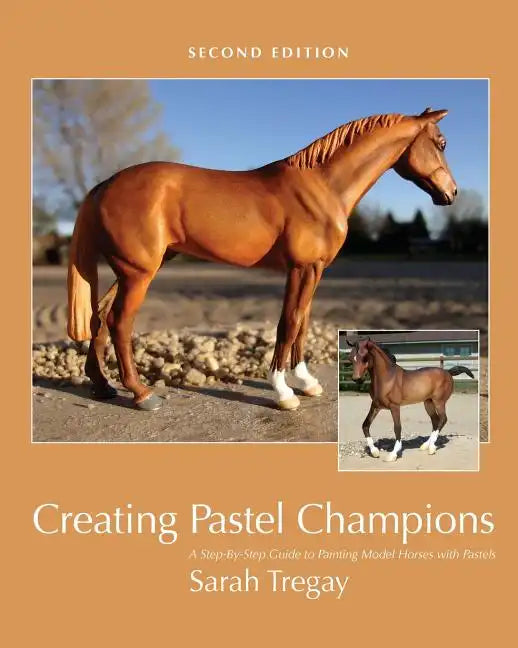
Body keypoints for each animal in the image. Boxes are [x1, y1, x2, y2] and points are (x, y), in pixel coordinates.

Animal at [67, 107, 457, 411]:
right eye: (441, 143)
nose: (451, 193)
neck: (323, 186)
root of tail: (105, 185)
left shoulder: (315, 270)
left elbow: (303, 322)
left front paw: (306, 382)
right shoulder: (300, 268)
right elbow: (289, 323)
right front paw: (284, 392)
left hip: (130, 270)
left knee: (99, 316)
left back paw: (103, 386)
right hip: (139, 273)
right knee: (119, 322)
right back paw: (142, 394)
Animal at [346, 338, 474, 461]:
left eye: (364, 357)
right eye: (351, 358)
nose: (357, 379)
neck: (387, 379)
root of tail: (448, 372)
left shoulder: (394, 406)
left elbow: (397, 427)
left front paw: (393, 454)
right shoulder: (376, 405)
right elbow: (365, 425)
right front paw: (374, 452)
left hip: (439, 402)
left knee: (443, 419)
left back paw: (431, 448)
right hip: (428, 403)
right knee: (435, 421)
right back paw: (425, 445)